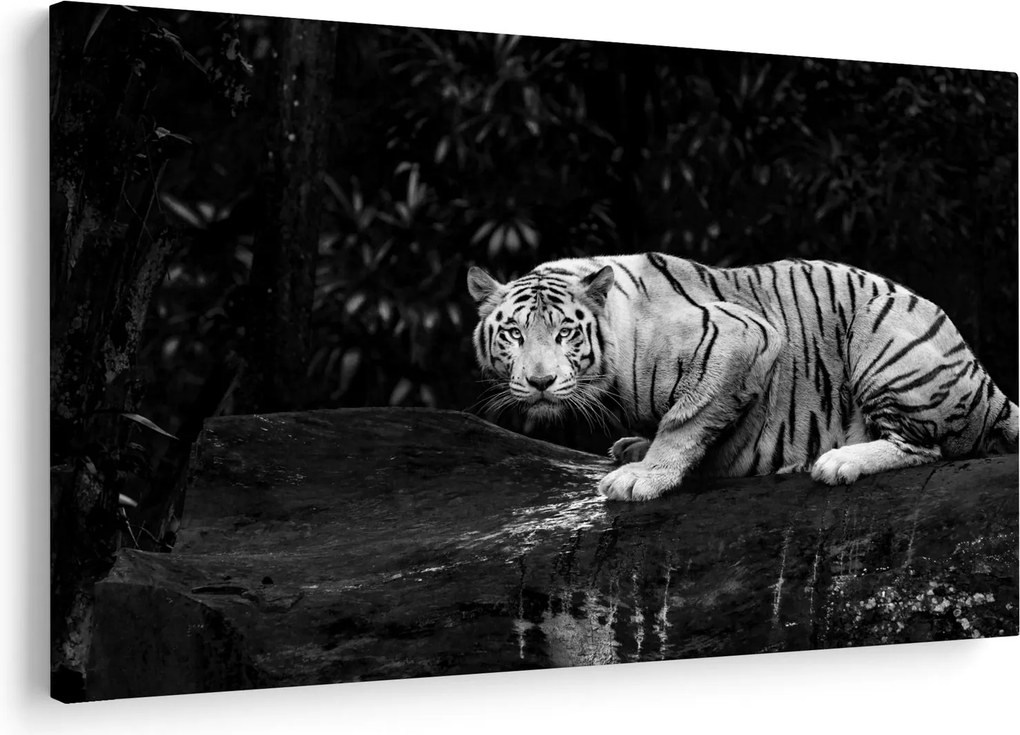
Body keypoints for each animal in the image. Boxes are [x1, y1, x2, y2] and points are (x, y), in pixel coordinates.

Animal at [467, 253, 1018, 501]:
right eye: (514, 333)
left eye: (565, 333)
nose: (540, 382)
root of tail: (987, 384)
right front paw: (635, 450)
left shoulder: (742, 336)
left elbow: (685, 419)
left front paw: (643, 476)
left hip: (882, 334)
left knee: (928, 446)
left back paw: (838, 461)